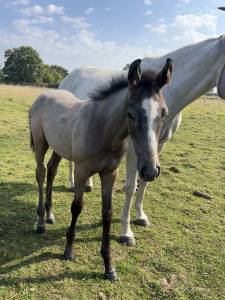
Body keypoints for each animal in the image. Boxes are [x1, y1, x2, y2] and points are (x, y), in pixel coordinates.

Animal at [29, 59, 173, 282]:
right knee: (41, 173)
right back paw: (41, 222)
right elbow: (76, 207)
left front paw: (109, 267)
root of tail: (44, 95)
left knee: (52, 170)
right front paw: (68, 250)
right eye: (130, 113)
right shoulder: (81, 171)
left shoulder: (110, 173)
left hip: (59, 147)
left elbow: (107, 213)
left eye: (164, 113)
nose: (150, 170)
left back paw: (50, 216)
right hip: (40, 143)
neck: (102, 129)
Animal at [59, 35, 225, 246]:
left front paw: (141, 216)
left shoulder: (158, 147)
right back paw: (72, 183)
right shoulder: (132, 149)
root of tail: (69, 76)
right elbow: (131, 186)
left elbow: (146, 181)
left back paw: (88, 184)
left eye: (164, 114)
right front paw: (126, 232)